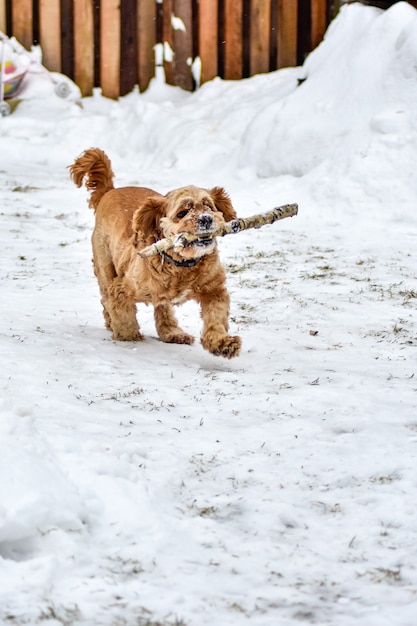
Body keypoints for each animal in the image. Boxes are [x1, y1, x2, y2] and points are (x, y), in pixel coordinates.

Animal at [69, 147, 240, 358]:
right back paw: (111, 322)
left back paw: (173, 332)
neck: (182, 265)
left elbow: (216, 317)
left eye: (208, 206)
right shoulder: (121, 288)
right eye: (182, 213)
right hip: (105, 266)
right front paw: (129, 336)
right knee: (105, 298)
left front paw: (222, 342)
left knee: (163, 307)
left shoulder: (214, 290)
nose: (206, 218)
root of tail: (110, 191)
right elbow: (123, 315)